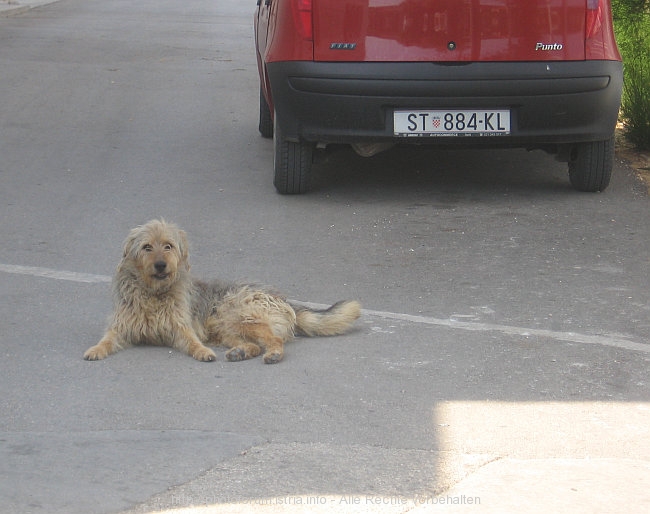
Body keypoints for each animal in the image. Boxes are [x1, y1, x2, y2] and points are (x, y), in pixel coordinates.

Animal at [82, 218, 360, 362]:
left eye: (168, 246)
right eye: (147, 247)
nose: (161, 265)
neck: (154, 293)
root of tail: (282, 299)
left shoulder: (182, 327)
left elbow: (192, 342)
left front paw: (203, 351)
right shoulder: (121, 325)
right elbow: (107, 338)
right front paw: (95, 350)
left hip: (239, 317)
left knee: (274, 340)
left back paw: (272, 354)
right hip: (226, 327)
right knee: (254, 345)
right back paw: (241, 352)